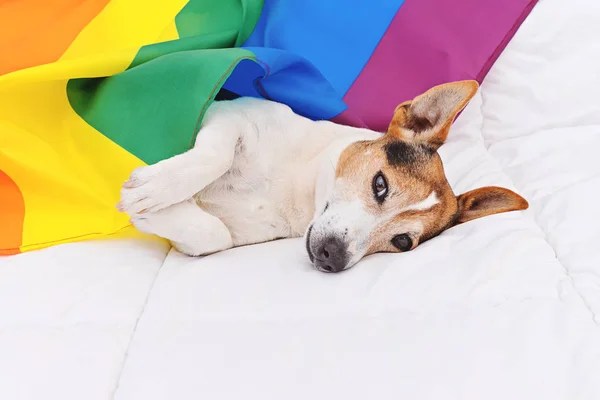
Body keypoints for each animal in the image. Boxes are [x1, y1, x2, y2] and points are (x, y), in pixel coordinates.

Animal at [115, 79, 528, 272]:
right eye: (380, 185)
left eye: (402, 242)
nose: (333, 257)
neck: (298, 185)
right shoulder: (228, 112)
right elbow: (215, 156)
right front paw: (153, 190)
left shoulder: (219, 240)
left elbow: (213, 234)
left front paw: (157, 213)